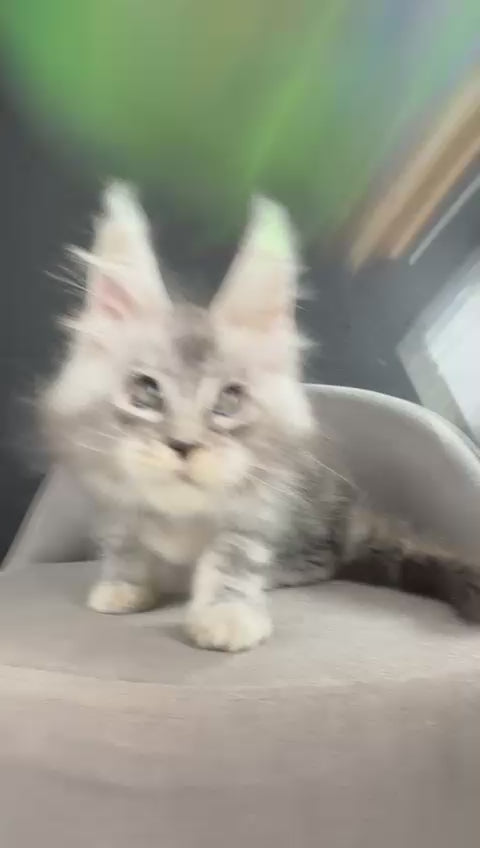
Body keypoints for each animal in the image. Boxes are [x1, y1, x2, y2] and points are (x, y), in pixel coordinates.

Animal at [42, 182, 480, 651]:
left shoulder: (261, 502)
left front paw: (227, 613)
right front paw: (124, 584)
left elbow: (235, 556)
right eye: (147, 392)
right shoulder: (112, 495)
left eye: (229, 400)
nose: (183, 444)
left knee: (323, 558)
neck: (181, 514)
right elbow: (124, 541)